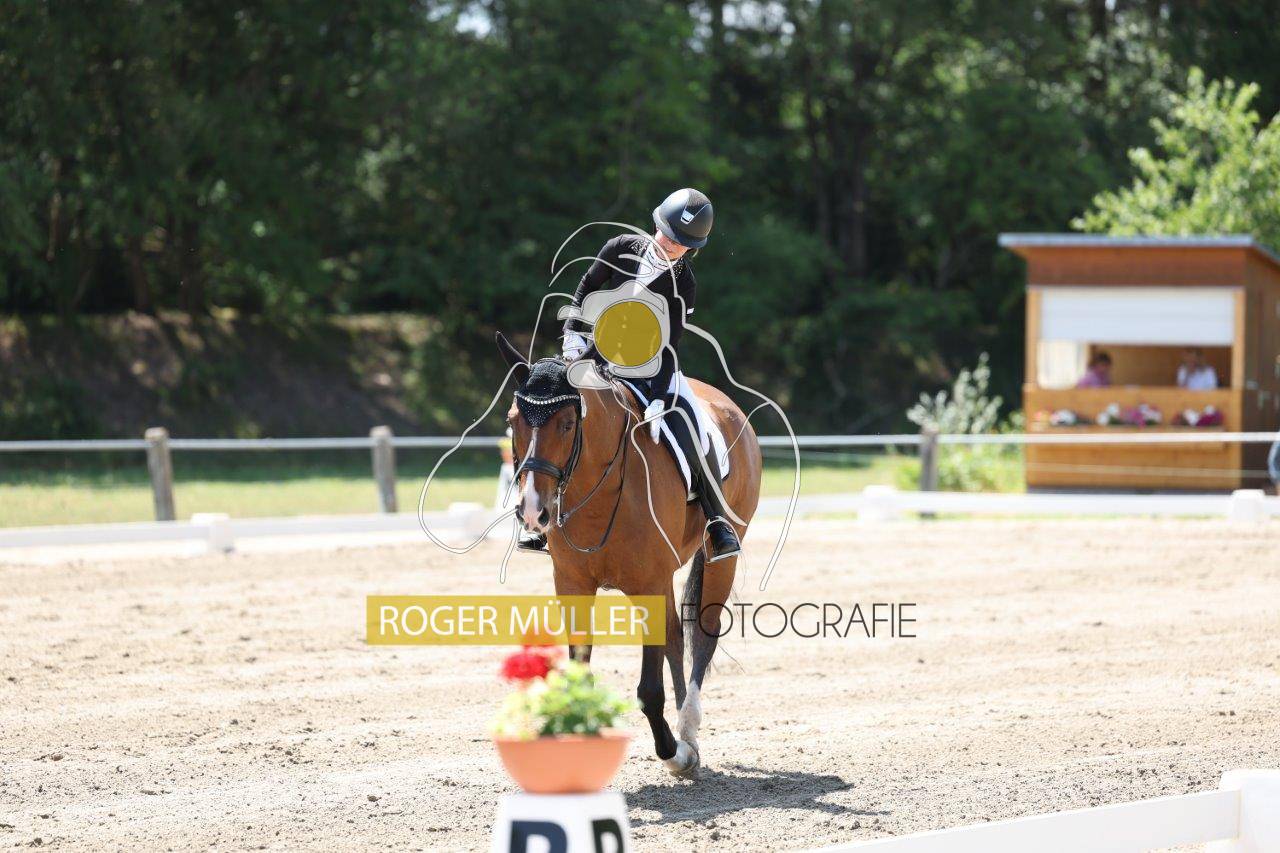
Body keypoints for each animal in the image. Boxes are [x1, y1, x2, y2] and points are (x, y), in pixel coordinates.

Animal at [495, 332, 763, 777]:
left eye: (567, 424)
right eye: (512, 420)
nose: (533, 511)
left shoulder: (648, 584)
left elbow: (648, 689)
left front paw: (671, 752)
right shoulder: (572, 585)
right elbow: (580, 670)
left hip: (720, 554)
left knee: (703, 633)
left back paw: (687, 735)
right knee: (675, 637)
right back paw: (686, 736)